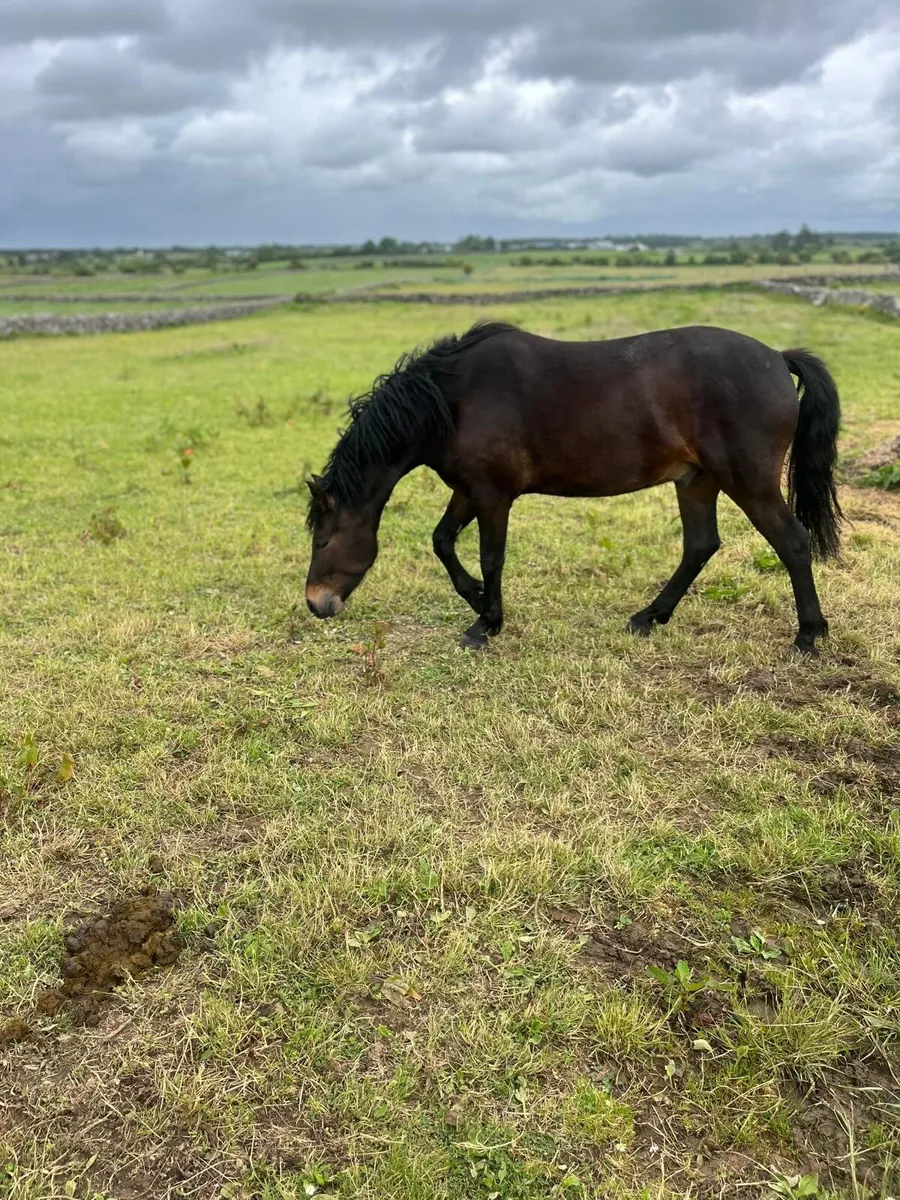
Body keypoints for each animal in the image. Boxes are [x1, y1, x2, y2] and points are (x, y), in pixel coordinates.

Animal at [305, 321, 841, 655]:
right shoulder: (468, 490)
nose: (315, 604)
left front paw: (486, 623)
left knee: (792, 543)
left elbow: (490, 557)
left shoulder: (493, 495)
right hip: (697, 480)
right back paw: (649, 616)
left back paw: (808, 636)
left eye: (323, 540)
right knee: (700, 545)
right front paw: (477, 598)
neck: (452, 400)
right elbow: (442, 541)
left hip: (747, 481)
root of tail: (777, 358)